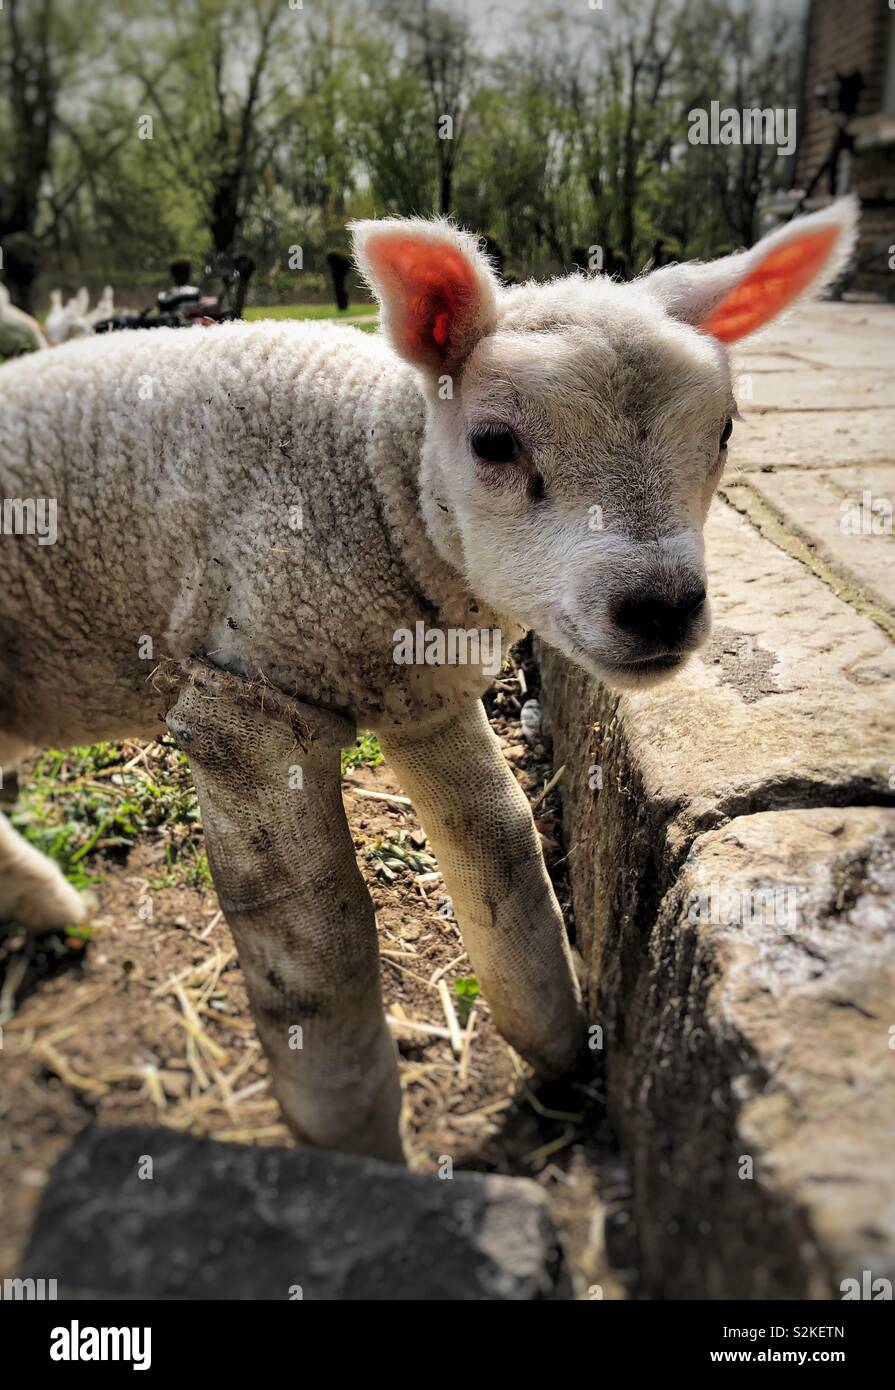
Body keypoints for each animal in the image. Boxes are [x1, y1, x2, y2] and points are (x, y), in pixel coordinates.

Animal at [0, 193, 861, 1150]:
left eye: (724, 431)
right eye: (491, 441)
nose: (660, 606)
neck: (373, 473)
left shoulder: (421, 686)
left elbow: (502, 847)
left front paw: (559, 1044)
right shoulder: (246, 699)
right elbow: (320, 962)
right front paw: (356, 1151)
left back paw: (48, 905)